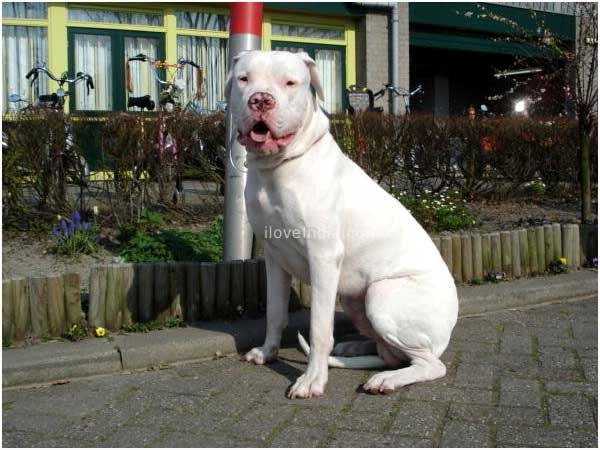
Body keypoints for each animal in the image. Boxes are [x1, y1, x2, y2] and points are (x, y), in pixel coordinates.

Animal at [226, 51, 460, 400]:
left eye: (290, 82)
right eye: (244, 79)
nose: (261, 100)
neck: (279, 167)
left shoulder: (322, 257)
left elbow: (320, 329)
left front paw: (312, 380)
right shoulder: (274, 257)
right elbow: (275, 314)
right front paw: (268, 353)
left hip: (382, 295)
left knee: (428, 363)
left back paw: (387, 379)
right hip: (354, 299)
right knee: (388, 353)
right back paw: (356, 348)